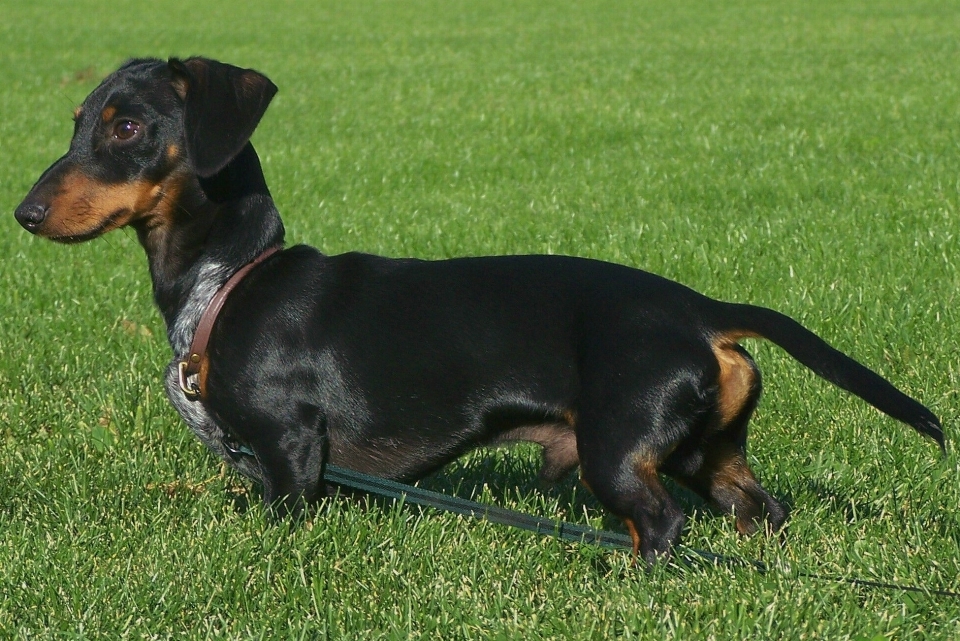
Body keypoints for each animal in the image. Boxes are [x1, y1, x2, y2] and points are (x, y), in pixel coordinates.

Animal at [15, 57, 944, 564]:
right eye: (77, 122)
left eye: (126, 127)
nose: (24, 212)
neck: (229, 281)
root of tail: (698, 308)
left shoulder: (289, 454)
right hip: (699, 449)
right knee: (760, 511)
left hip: (619, 447)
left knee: (661, 526)